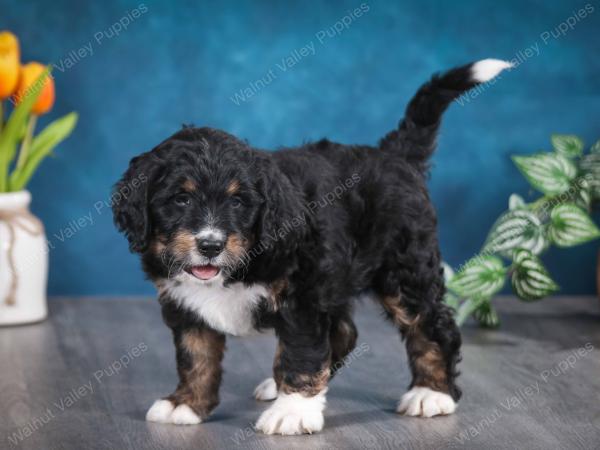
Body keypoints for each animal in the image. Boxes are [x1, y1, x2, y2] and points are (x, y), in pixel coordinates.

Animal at [111, 58, 510, 434]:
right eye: (181, 199)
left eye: (238, 202)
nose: (210, 245)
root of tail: (393, 155)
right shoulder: (186, 301)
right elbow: (196, 355)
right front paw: (187, 404)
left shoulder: (302, 296)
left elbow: (301, 352)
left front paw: (292, 413)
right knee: (344, 332)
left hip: (405, 270)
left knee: (432, 325)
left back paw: (432, 393)